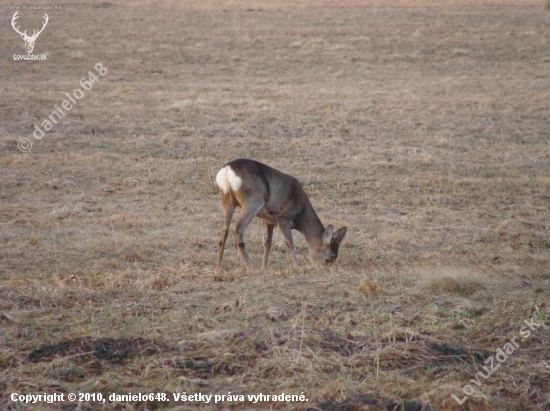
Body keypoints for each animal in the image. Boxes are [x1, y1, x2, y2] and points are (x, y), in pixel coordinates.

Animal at [217, 159, 350, 276]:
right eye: (328, 259)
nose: (324, 270)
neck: (301, 211)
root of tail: (227, 170)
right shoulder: (283, 217)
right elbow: (289, 242)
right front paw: (297, 267)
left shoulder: (268, 220)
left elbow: (267, 243)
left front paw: (264, 268)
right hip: (253, 201)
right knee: (237, 228)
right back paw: (250, 266)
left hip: (227, 200)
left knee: (224, 231)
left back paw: (218, 268)